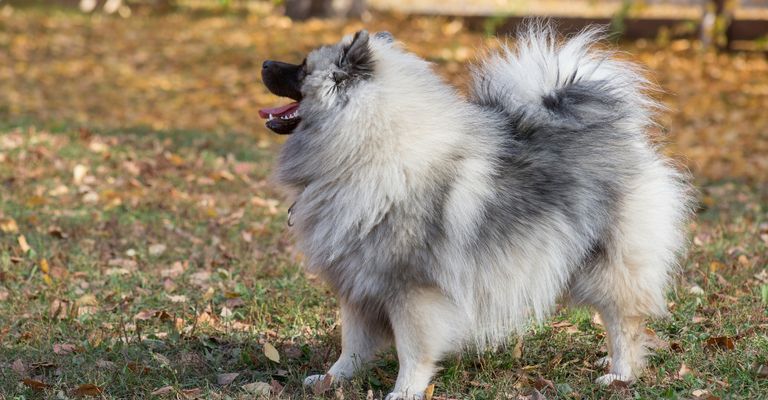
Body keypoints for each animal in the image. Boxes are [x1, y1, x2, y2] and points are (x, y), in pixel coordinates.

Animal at [260, 24, 692, 396]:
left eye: (301, 67)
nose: (264, 63)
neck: (367, 150)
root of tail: (621, 133)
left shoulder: (412, 290)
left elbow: (413, 351)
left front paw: (404, 391)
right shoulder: (358, 284)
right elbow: (352, 344)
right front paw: (331, 379)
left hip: (607, 266)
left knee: (625, 323)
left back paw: (620, 373)